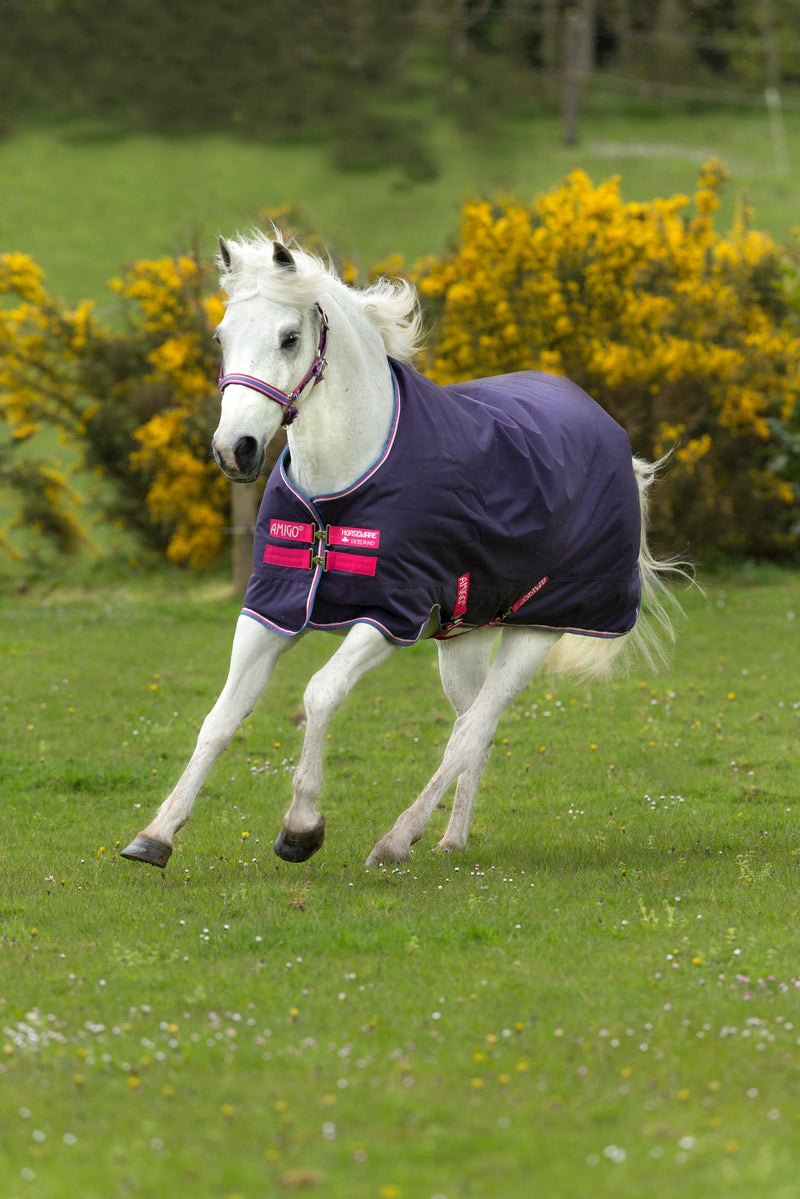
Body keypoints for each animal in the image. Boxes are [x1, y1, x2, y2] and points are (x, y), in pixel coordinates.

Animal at [121, 232, 680, 871]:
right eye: (222, 336)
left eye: (289, 338)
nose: (233, 450)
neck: (338, 493)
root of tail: (611, 435)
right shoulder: (271, 607)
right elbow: (221, 717)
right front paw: (156, 835)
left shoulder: (389, 615)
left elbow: (319, 694)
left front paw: (301, 829)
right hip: (465, 637)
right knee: (473, 727)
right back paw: (450, 839)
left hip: (539, 630)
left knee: (474, 727)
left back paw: (396, 839)